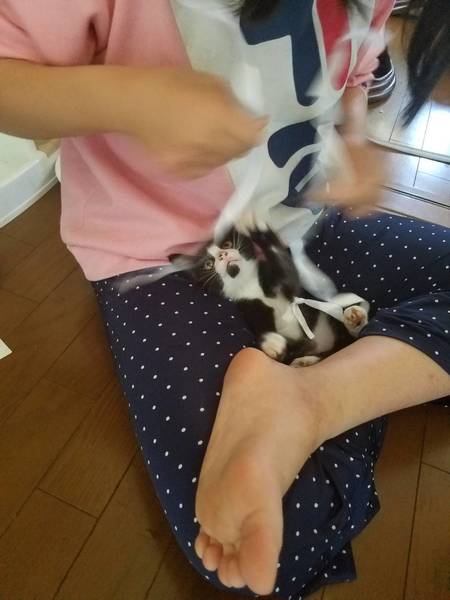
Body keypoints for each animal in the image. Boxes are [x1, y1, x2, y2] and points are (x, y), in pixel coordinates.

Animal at [170, 225, 369, 366]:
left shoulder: (288, 283)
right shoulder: (247, 304)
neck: (250, 284)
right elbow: (257, 318)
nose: (223, 255)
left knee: (351, 336)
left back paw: (354, 316)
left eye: (226, 245)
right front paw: (270, 341)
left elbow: (286, 272)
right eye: (208, 264)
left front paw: (262, 234)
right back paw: (305, 361)